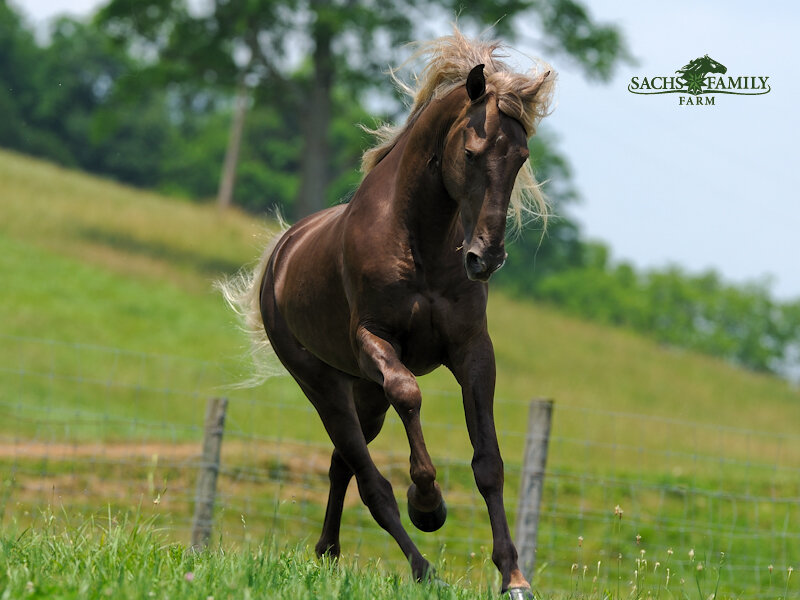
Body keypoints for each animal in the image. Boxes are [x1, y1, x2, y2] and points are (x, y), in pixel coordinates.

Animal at [221, 28, 555, 599]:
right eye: (471, 152)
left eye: (521, 156)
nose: (484, 258)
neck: (418, 239)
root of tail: (280, 255)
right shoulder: (374, 341)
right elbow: (410, 394)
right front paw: (429, 504)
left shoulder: (472, 350)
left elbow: (488, 462)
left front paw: (514, 576)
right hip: (324, 384)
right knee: (368, 477)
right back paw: (421, 566)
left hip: (364, 395)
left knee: (342, 466)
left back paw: (329, 553)